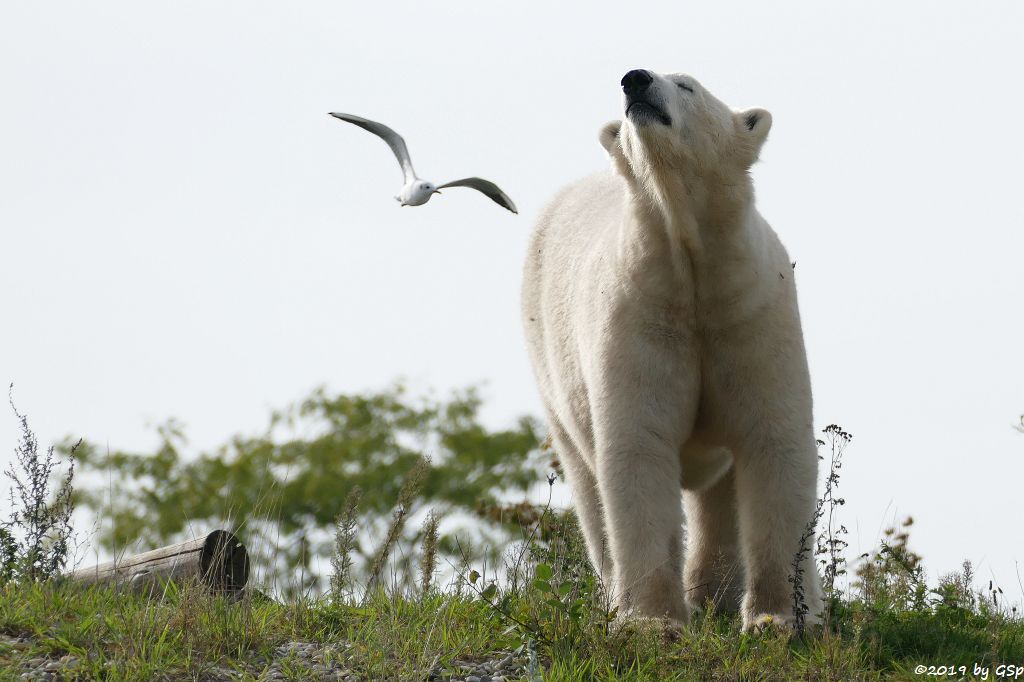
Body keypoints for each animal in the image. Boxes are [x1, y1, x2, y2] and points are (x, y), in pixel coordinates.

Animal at [524, 67, 819, 626]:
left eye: (686, 85)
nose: (634, 80)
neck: (693, 277)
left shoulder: (750, 316)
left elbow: (774, 443)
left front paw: (779, 619)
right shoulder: (640, 318)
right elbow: (638, 446)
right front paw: (652, 621)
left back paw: (713, 594)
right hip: (550, 371)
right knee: (589, 488)